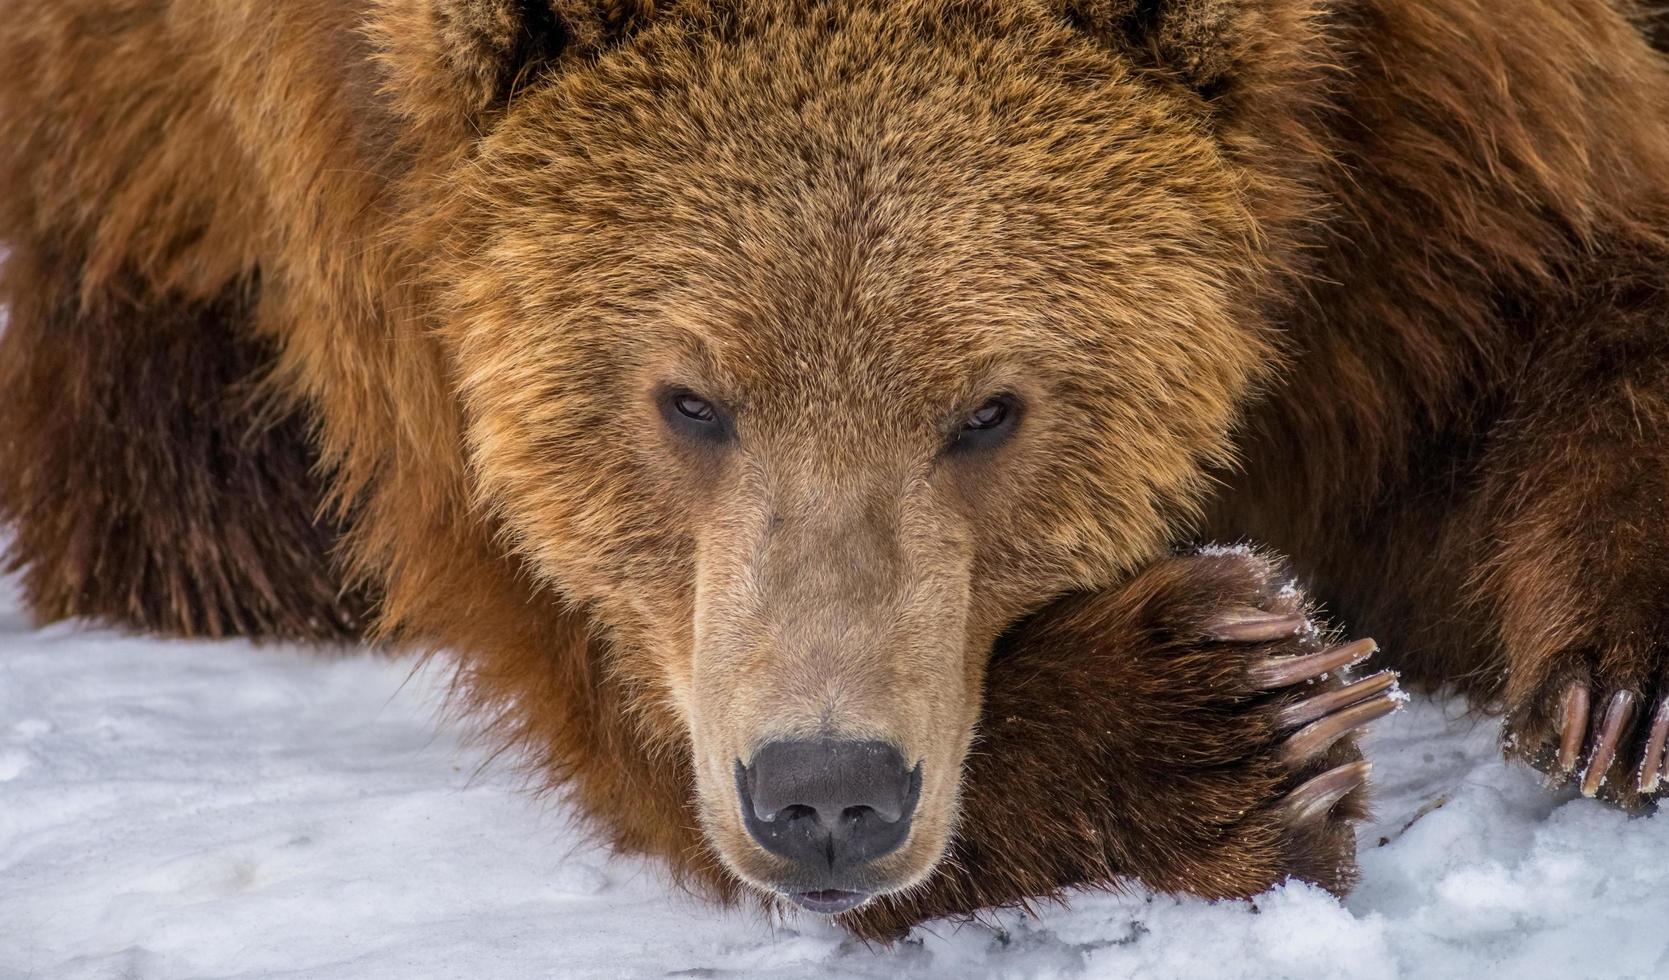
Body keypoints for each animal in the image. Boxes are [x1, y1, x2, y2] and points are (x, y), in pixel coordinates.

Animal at [0, 0, 1662, 941]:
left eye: (989, 408)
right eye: (686, 399)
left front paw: (1613, 696)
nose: (827, 795)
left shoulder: (1425, 124)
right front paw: (1233, 708)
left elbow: (1554, 303)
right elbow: (583, 651)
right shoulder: (379, 224)